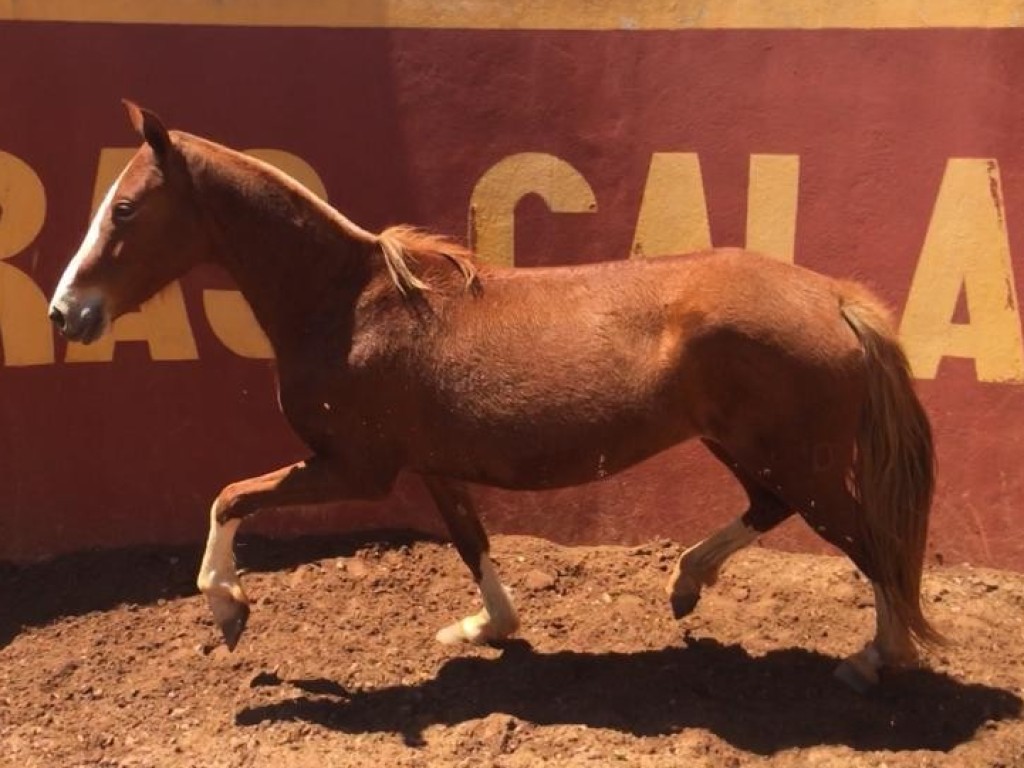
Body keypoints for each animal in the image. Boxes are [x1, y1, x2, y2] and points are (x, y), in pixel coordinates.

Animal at [51, 102, 937, 692]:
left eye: (123, 208)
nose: (67, 312)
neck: (349, 304)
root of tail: (835, 298)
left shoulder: (352, 467)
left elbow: (231, 496)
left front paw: (228, 609)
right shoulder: (433, 467)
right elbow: (471, 542)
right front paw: (486, 627)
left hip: (799, 460)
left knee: (872, 544)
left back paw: (873, 658)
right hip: (754, 450)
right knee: (772, 511)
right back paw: (685, 586)